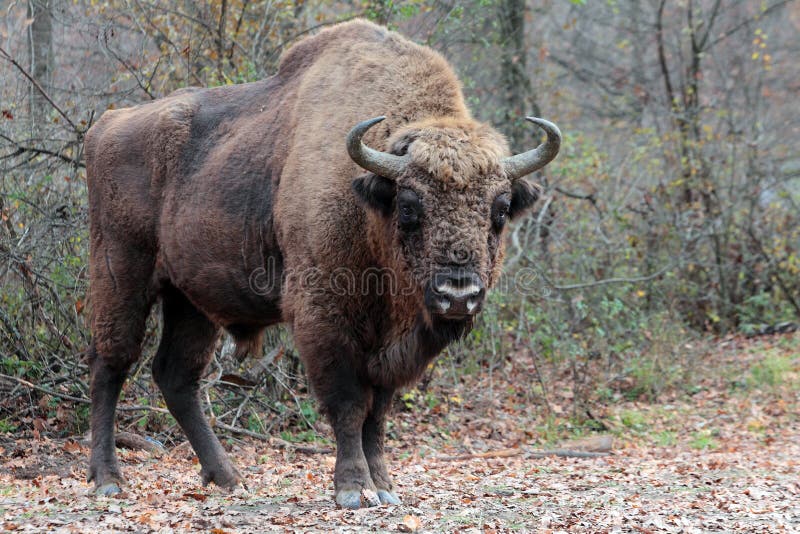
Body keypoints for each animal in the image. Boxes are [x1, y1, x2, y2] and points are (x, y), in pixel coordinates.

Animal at [84, 18, 560, 508]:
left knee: (176, 376)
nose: (458, 294)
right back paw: (108, 478)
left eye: (500, 210)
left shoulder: (389, 344)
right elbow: (349, 403)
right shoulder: (325, 317)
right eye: (410, 205)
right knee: (110, 363)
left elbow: (378, 412)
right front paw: (352, 488)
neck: (369, 204)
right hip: (120, 273)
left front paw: (384, 487)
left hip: (191, 300)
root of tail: (106, 124)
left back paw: (227, 477)